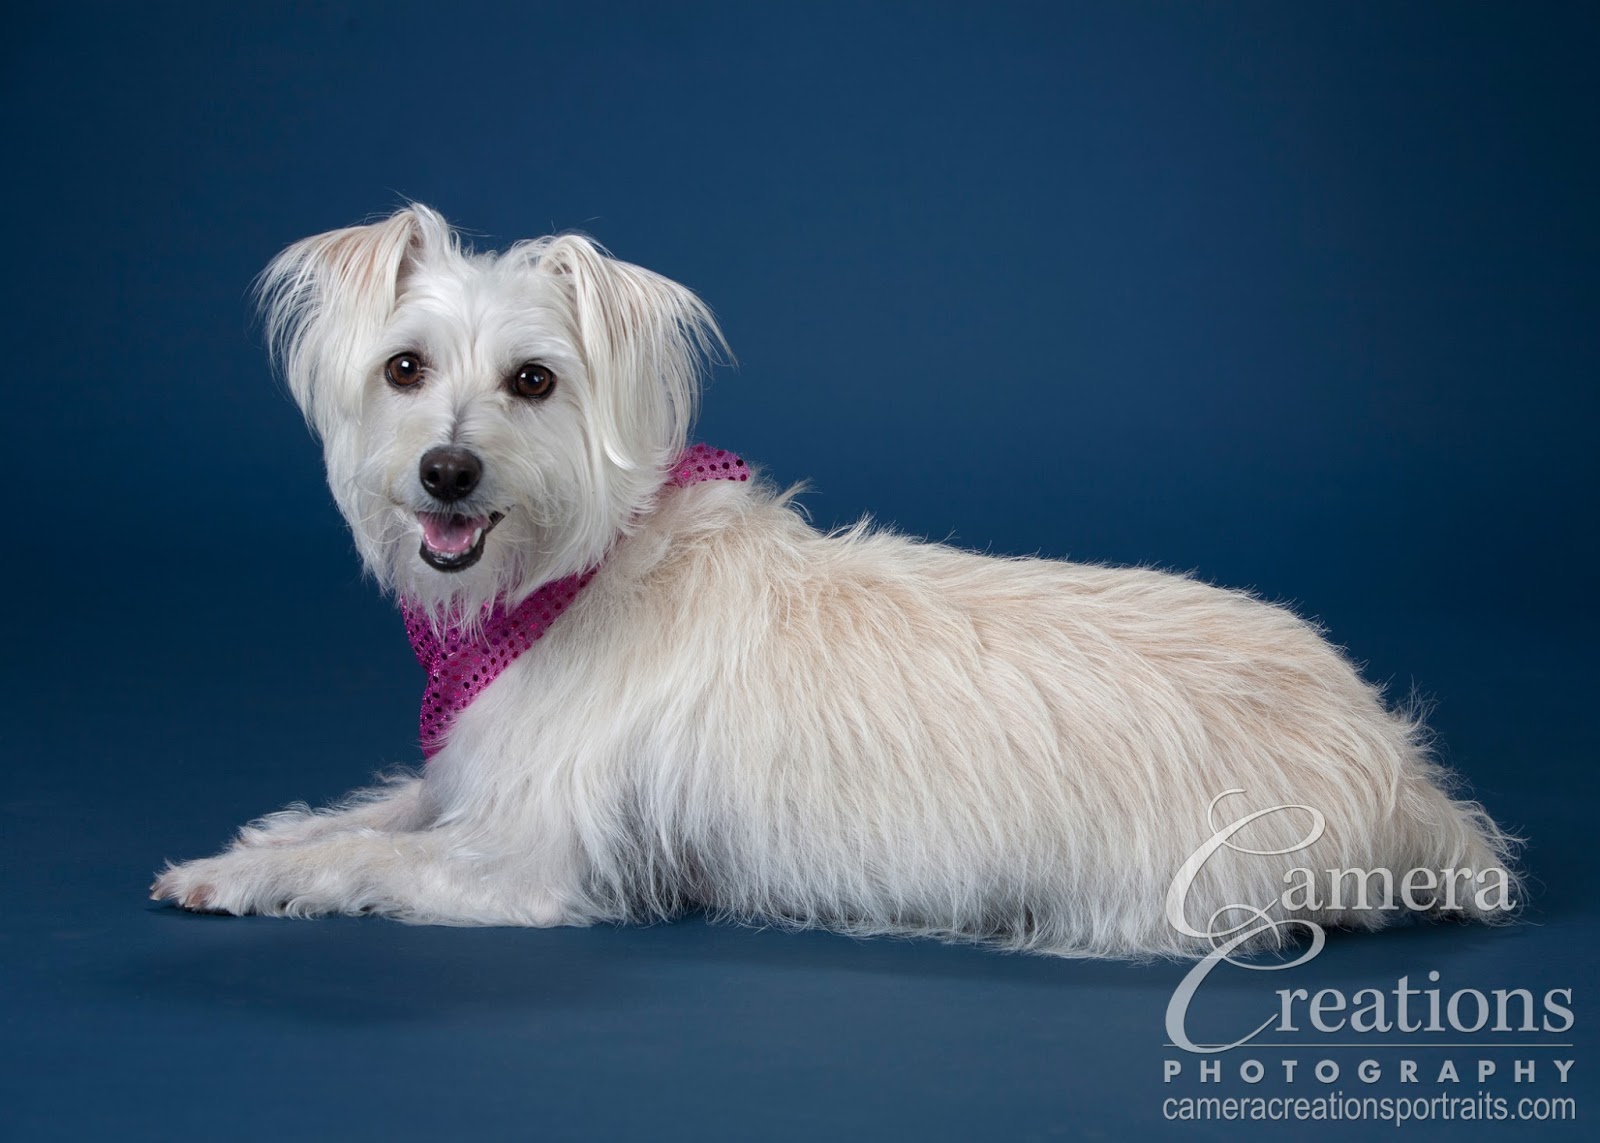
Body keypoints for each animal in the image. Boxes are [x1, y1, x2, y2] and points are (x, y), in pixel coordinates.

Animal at [152, 205, 1517, 958]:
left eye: (535, 381)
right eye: (403, 367)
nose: (446, 471)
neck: (567, 579)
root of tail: (1406, 778)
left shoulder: (526, 869)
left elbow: (367, 864)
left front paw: (255, 878)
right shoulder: (470, 791)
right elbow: (375, 811)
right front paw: (253, 845)